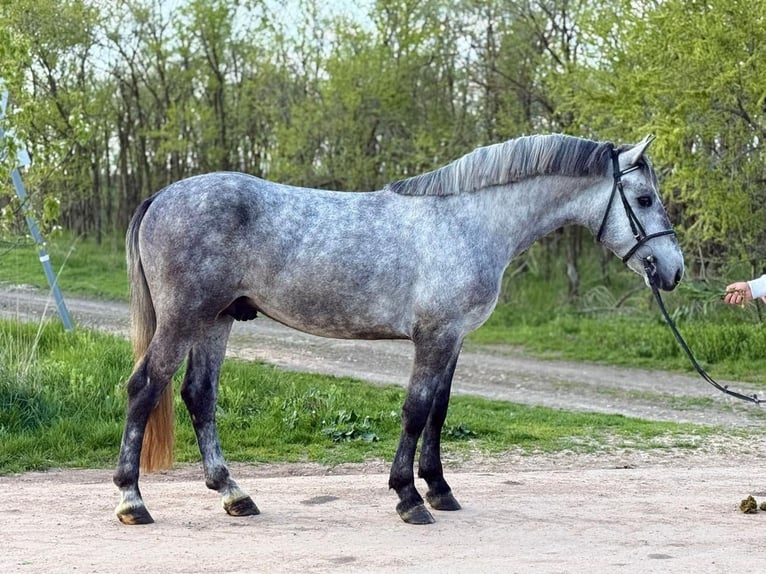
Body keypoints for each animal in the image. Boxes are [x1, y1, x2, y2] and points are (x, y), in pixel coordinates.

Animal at [113, 134, 684, 525]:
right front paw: (409, 498)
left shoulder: (454, 339)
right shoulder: (434, 337)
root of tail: (162, 196)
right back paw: (131, 499)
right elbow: (415, 410)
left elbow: (439, 411)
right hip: (185, 319)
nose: (672, 271)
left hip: (216, 320)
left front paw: (440, 489)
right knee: (145, 388)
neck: (468, 221)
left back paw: (235, 494)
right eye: (645, 199)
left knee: (198, 395)